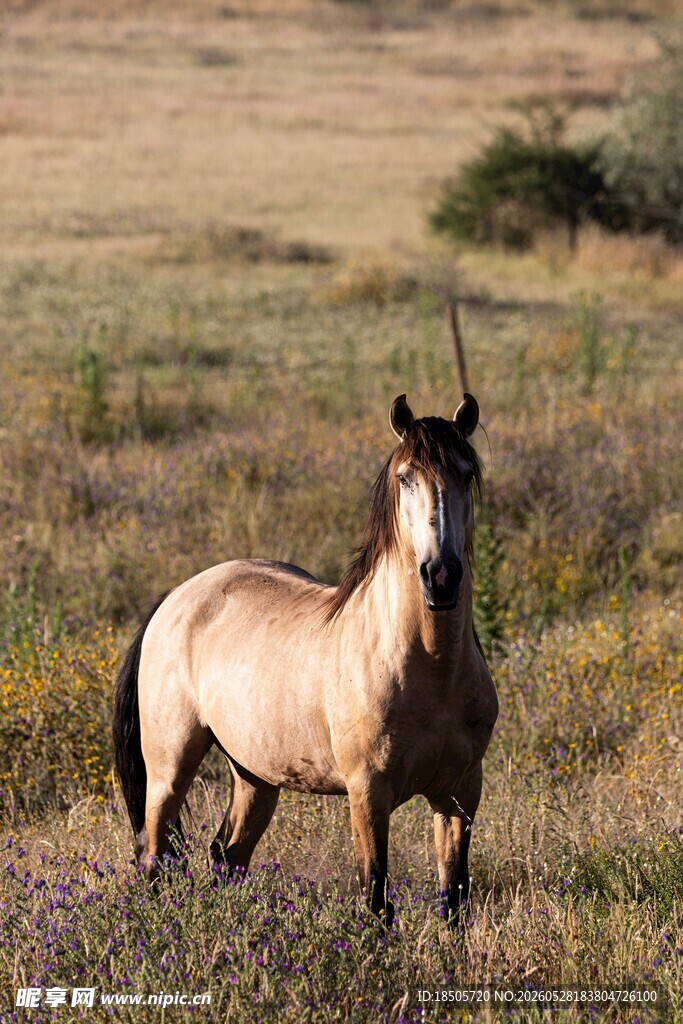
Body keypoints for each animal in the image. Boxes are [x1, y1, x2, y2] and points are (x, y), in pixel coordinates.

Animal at [113, 393, 498, 924]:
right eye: (405, 478)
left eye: (465, 473)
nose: (440, 576)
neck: (431, 672)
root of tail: (175, 598)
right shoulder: (367, 793)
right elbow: (376, 897)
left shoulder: (460, 795)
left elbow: (454, 899)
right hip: (169, 769)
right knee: (154, 856)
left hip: (254, 775)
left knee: (226, 855)